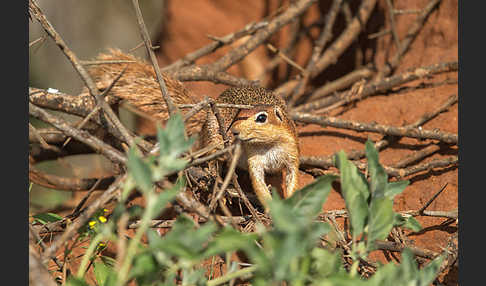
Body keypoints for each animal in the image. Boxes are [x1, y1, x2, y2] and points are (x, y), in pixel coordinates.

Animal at [81, 49, 298, 209]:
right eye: (238, 115)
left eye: (261, 118)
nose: (234, 131)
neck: (269, 145)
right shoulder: (255, 162)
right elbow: (259, 186)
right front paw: (272, 210)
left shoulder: (292, 156)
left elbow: (292, 180)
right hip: (215, 141)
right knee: (213, 161)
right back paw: (219, 185)